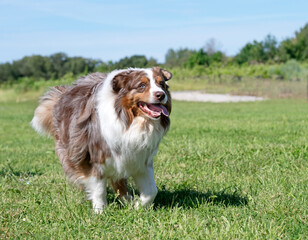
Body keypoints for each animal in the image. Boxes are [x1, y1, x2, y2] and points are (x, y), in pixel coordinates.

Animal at [31, 67, 173, 212]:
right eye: (142, 86)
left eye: (162, 84)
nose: (161, 95)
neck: (131, 122)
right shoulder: (95, 157)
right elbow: (99, 189)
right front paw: (100, 211)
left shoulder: (140, 158)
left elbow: (151, 191)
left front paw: (137, 207)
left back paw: (127, 200)